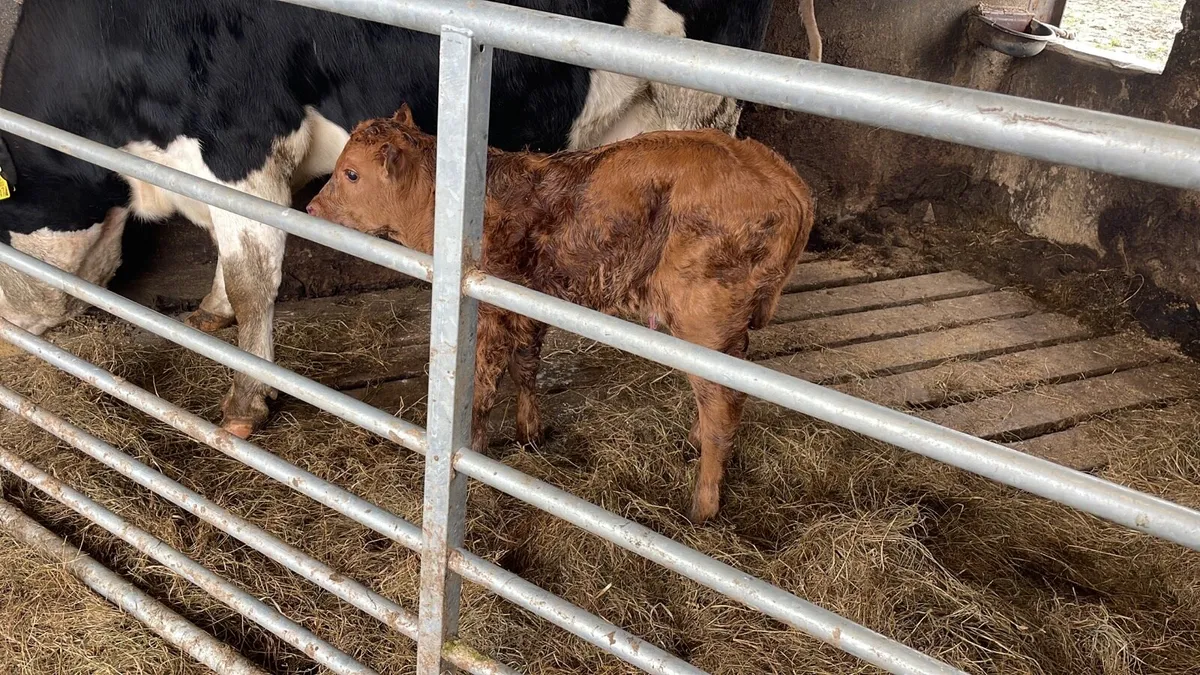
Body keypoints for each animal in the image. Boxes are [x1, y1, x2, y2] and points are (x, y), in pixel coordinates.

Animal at [0, 0, 822, 438]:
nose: (15, 330)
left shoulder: (241, 140)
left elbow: (255, 274)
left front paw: (244, 400)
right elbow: (231, 265)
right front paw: (209, 311)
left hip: (704, 91)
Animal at [306, 106, 815, 522]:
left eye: (351, 174)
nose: (310, 206)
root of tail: (784, 179)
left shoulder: (487, 312)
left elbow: (482, 385)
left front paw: (473, 449)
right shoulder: (527, 301)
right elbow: (526, 365)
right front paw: (530, 432)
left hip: (705, 318)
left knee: (722, 405)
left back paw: (703, 505)